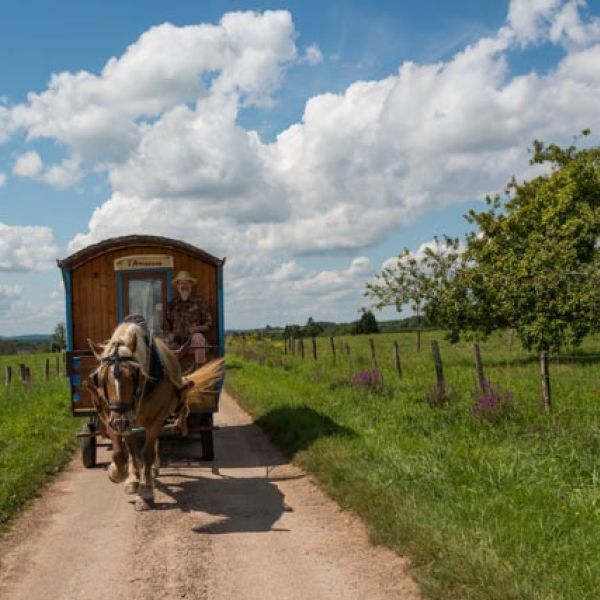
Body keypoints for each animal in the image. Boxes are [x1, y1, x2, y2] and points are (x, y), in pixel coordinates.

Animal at [85, 324, 223, 510]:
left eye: (135, 375)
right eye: (100, 378)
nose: (121, 421)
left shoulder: (156, 418)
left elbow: (147, 454)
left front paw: (145, 492)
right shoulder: (109, 416)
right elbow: (122, 453)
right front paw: (119, 474)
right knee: (133, 448)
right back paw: (135, 477)